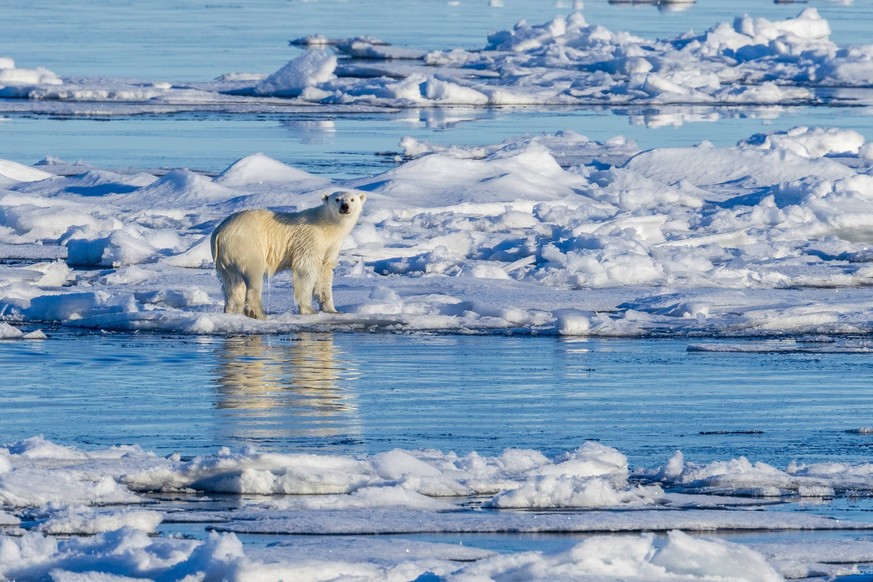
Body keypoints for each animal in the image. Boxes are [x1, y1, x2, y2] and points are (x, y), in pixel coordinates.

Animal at [210, 192, 364, 320]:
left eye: (352, 199)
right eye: (337, 199)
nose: (345, 206)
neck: (326, 224)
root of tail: (220, 231)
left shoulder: (330, 247)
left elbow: (324, 273)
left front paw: (332, 310)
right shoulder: (310, 240)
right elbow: (305, 270)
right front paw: (309, 310)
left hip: (225, 257)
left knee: (231, 283)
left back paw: (231, 310)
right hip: (247, 244)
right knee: (253, 273)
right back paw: (258, 313)